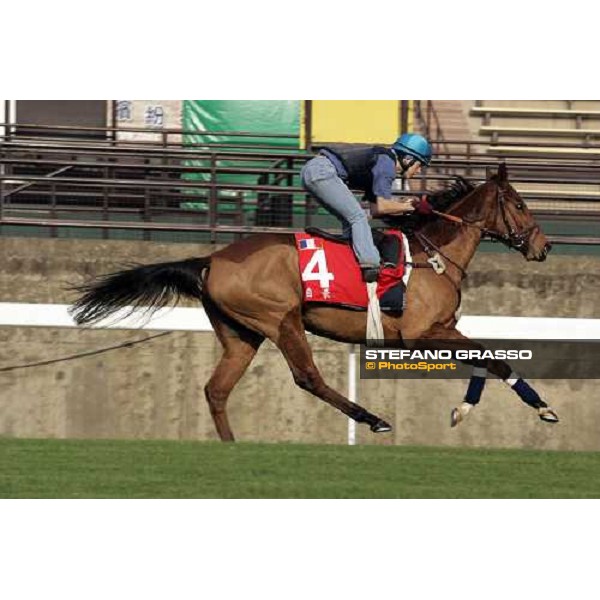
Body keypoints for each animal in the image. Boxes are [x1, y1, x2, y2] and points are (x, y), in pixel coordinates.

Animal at [70, 164, 556, 440]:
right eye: (518, 203)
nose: (544, 246)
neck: (432, 253)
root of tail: (211, 258)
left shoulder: (445, 329)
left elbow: (490, 360)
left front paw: (471, 409)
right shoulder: (421, 333)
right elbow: (493, 359)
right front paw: (541, 408)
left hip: (241, 333)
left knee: (216, 389)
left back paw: (232, 446)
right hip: (281, 319)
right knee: (307, 377)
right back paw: (372, 418)